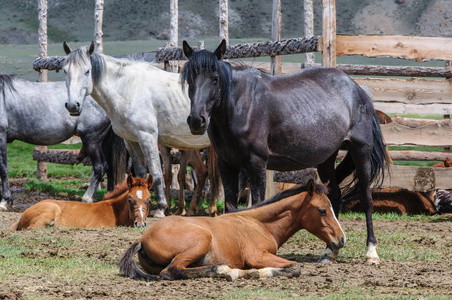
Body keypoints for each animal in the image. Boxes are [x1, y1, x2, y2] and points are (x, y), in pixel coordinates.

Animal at [61, 41, 211, 217]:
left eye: (87, 71)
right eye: (65, 71)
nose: (73, 106)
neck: (129, 89)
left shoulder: (148, 137)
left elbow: (156, 173)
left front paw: (161, 208)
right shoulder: (131, 141)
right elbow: (140, 173)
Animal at [120, 180, 346, 282]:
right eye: (322, 210)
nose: (341, 239)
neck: (259, 224)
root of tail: (142, 239)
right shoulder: (257, 256)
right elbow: (295, 266)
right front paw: (261, 272)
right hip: (201, 240)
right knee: (172, 271)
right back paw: (227, 271)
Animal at [182, 40, 390, 264]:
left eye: (215, 79)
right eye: (189, 79)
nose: (196, 121)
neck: (239, 106)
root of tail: (358, 89)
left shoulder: (256, 164)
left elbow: (258, 204)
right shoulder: (227, 165)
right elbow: (229, 207)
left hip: (361, 152)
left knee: (367, 200)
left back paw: (371, 253)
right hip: (326, 160)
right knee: (335, 196)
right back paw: (329, 252)